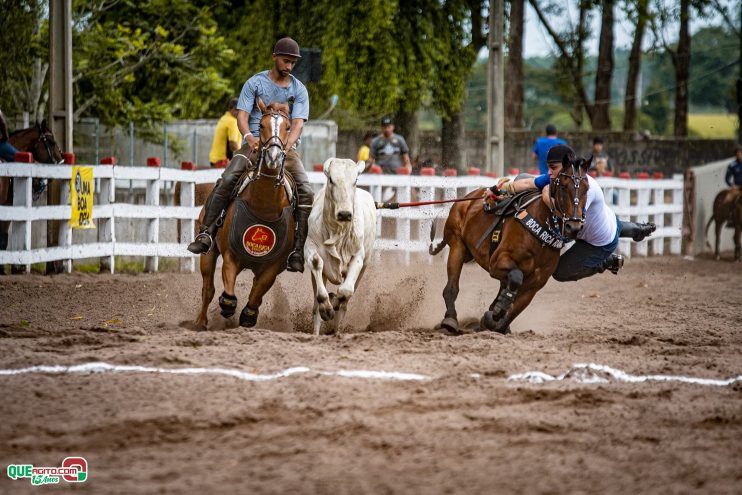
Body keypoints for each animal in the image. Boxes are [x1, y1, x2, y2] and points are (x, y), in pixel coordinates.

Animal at [190, 100, 294, 334]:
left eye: (288, 127)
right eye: (262, 125)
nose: (273, 157)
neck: (264, 206)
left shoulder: (272, 268)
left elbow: (256, 296)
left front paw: (247, 318)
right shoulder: (231, 256)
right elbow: (228, 296)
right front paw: (228, 311)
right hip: (209, 253)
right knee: (208, 288)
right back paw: (200, 322)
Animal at [434, 155, 588, 334]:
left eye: (586, 188)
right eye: (563, 186)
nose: (574, 227)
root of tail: (467, 199)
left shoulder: (536, 283)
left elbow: (514, 309)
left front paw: (494, 320)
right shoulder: (497, 263)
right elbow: (515, 277)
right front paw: (497, 311)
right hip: (457, 246)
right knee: (451, 288)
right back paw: (450, 319)